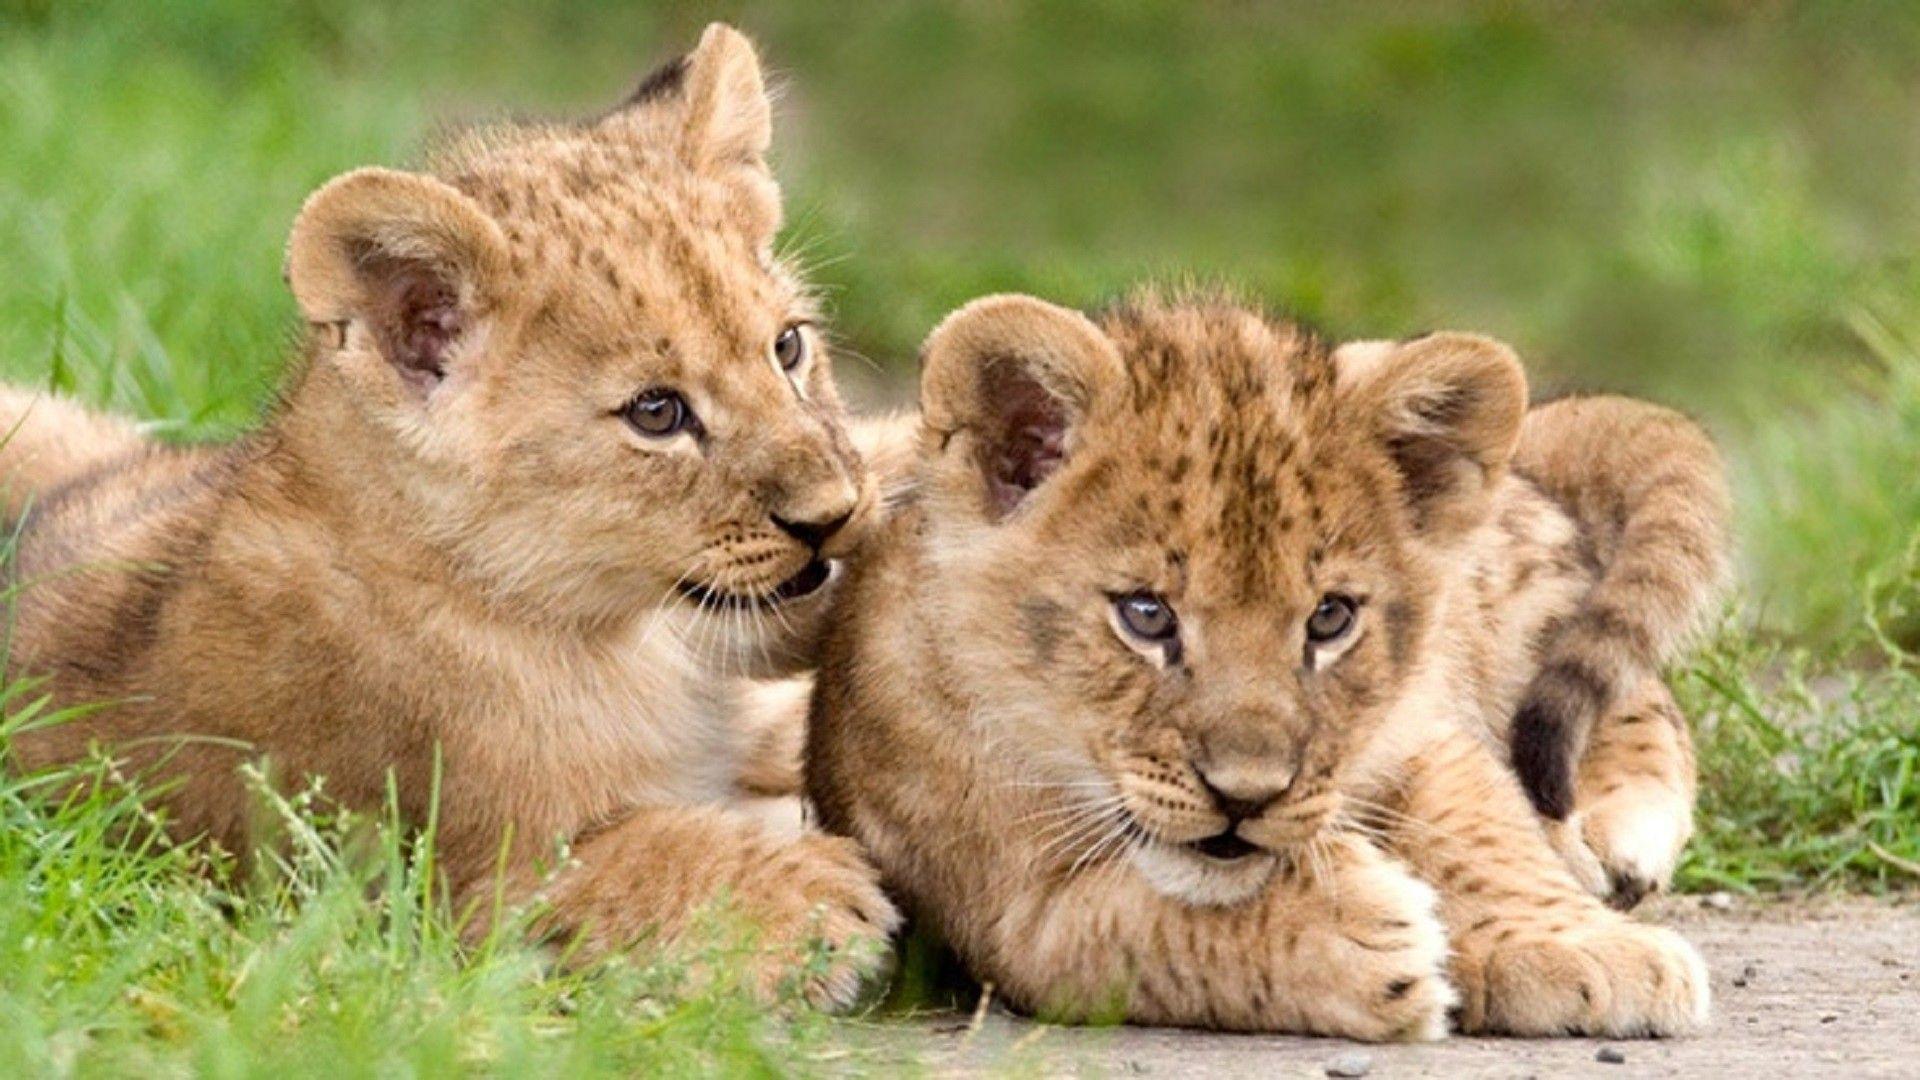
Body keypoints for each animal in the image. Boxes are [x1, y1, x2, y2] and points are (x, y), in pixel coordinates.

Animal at [0, 24, 895, 1007]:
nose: (833, 515)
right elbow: (643, 865)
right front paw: (822, 898)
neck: (627, 638)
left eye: (788, 346)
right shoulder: (441, 894)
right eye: (657, 413)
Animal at [807, 291, 1728, 1037]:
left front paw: (1588, 951)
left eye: (1330, 618)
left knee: (1628, 691)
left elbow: (1482, 836)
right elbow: (1150, 929)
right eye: (1146, 614)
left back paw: (1616, 837)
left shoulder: (1418, 731)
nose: (1246, 797)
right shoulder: (999, 921)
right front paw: (1358, 932)